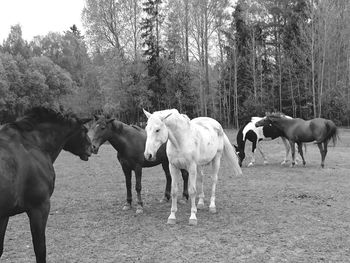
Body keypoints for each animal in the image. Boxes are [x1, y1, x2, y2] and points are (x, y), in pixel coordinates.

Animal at [0, 108, 92, 263]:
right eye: (84, 130)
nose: (92, 148)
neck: (32, 144)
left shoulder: (4, 215)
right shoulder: (39, 207)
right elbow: (40, 249)